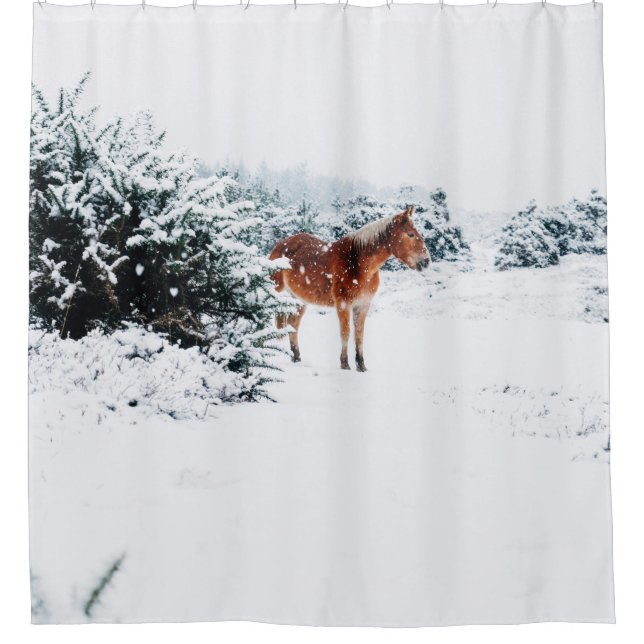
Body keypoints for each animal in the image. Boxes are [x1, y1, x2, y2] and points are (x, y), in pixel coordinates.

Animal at [269, 206, 431, 372]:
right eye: (410, 234)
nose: (426, 261)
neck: (358, 263)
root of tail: (280, 245)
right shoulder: (343, 304)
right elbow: (345, 332)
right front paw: (345, 364)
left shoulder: (363, 305)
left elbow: (359, 335)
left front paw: (361, 366)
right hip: (275, 292)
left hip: (299, 299)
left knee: (293, 324)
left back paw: (296, 357)